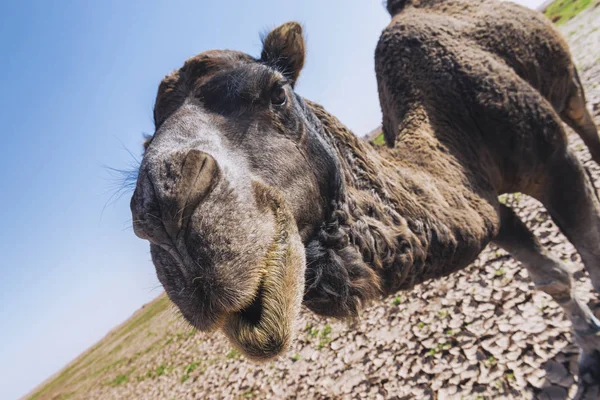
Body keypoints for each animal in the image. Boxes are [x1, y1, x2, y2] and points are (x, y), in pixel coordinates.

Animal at [131, 1, 600, 396]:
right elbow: (551, 275)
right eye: (146, 144)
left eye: (277, 93)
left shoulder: (554, 162)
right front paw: (589, 351)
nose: (163, 206)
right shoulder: (485, 203)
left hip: (567, 89)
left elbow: (590, 251)